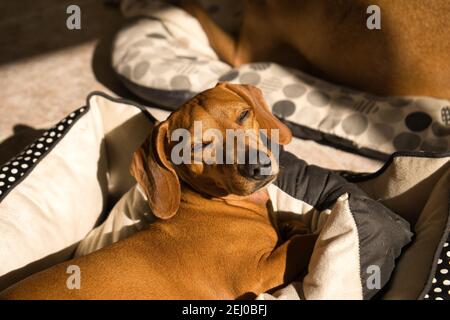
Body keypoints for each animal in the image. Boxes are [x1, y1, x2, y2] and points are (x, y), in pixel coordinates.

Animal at [0, 83, 316, 300]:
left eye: (244, 114)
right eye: (199, 145)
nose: (258, 166)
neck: (216, 203)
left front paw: (293, 224)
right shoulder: (257, 272)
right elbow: (304, 243)